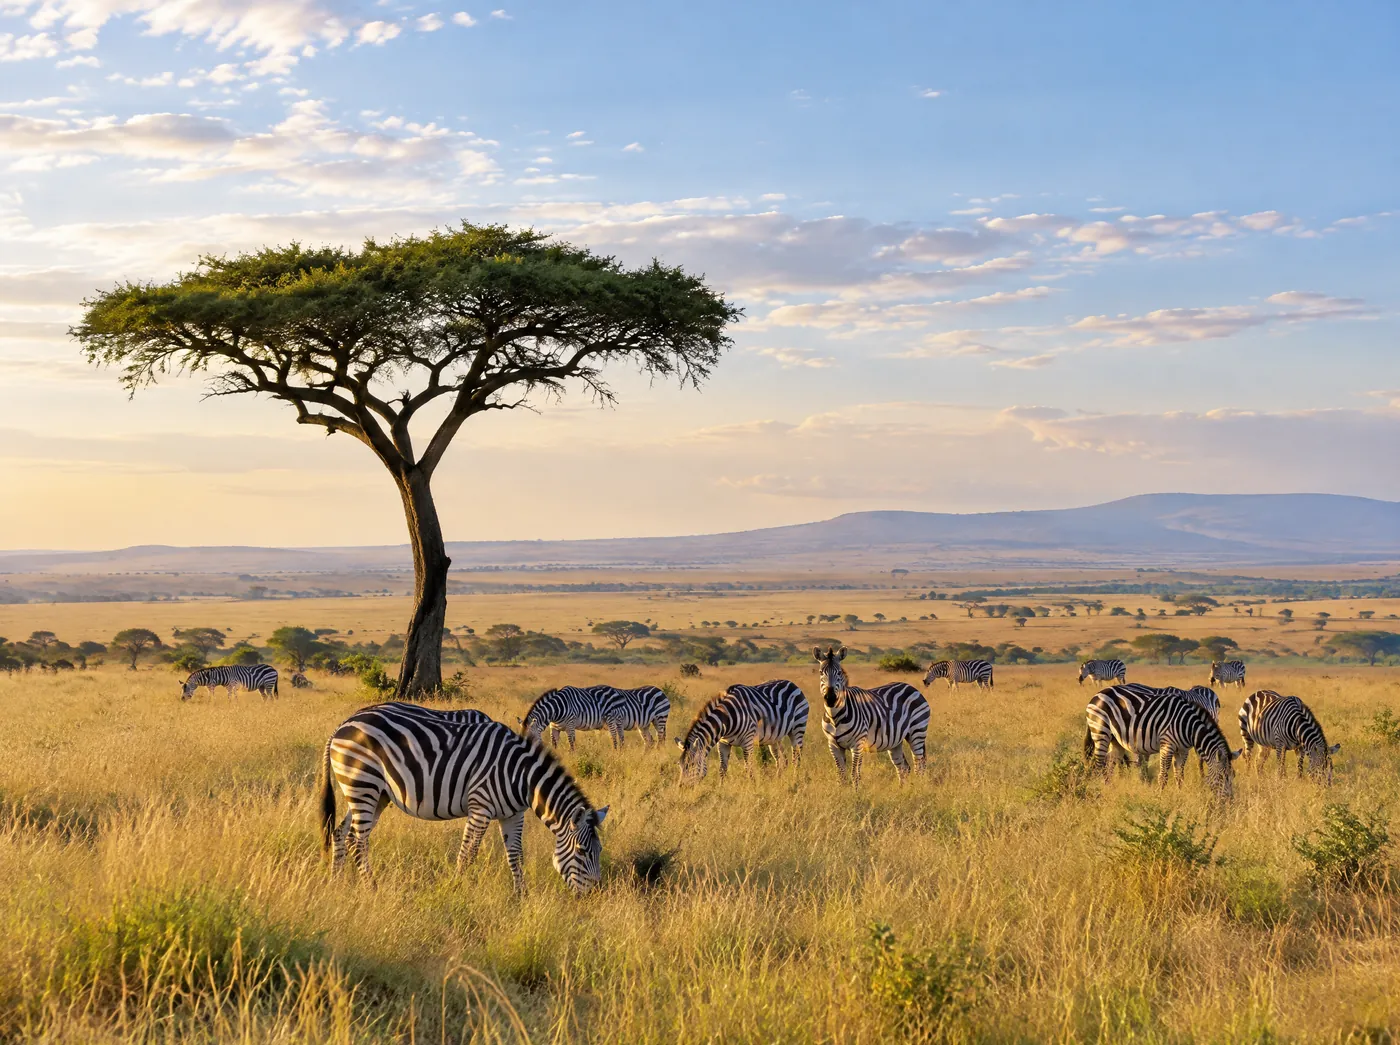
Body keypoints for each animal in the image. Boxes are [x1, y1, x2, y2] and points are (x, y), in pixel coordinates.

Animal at [321, 701, 608, 892]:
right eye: (582, 851)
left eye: (599, 851)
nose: (594, 894)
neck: (522, 777)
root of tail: (343, 724)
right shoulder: (480, 807)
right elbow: (467, 854)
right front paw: (456, 890)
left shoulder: (514, 814)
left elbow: (516, 855)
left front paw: (521, 896)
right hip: (364, 784)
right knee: (358, 840)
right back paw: (371, 887)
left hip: (370, 792)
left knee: (341, 832)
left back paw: (336, 882)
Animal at [675, 680, 808, 782]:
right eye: (679, 765)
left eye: (691, 765)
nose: (681, 788)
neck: (727, 719)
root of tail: (792, 684)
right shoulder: (723, 743)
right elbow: (722, 769)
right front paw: (720, 789)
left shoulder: (747, 741)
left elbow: (748, 768)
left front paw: (752, 787)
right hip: (775, 737)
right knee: (782, 760)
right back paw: (777, 781)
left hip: (797, 728)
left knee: (796, 758)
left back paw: (795, 781)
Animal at [816, 647, 930, 785]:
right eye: (821, 673)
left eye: (839, 673)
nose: (830, 698)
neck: (835, 717)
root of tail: (911, 688)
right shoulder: (833, 745)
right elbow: (841, 775)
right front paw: (842, 790)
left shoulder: (858, 744)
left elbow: (855, 775)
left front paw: (856, 791)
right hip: (896, 741)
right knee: (903, 768)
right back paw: (903, 789)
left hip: (917, 732)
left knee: (920, 765)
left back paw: (918, 787)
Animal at [1084, 683, 1240, 798]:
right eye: (1222, 776)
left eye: (1233, 776)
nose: (1229, 800)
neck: (1189, 726)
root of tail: (1098, 694)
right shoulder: (1167, 745)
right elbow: (1163, 775)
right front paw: (1159, 797)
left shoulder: (1183, 750)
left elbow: (1179, 775)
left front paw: (1179, 795)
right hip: (1101, 731)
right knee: (1098, 764)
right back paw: (1099, 791)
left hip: (1116, 740)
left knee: (1109, 763)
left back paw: (1109, 789)